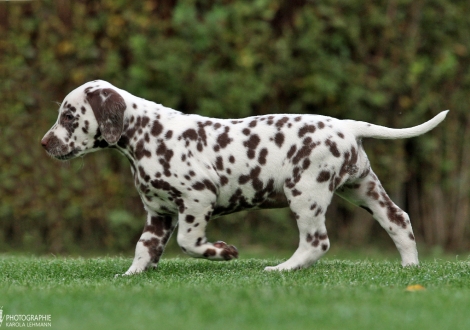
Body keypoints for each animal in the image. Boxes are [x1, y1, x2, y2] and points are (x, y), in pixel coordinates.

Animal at [41, 80, 448, 276]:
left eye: (69, 117)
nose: (45, 144)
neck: (147, 135)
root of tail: (346, 125)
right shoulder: (158, 213)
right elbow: (144, 248)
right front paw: (131, 276)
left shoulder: (197, 199)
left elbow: (189, 243)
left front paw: (222, 252)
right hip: (362, 188)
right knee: (399, 220)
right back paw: (410, 269)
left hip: (306, 193)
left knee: (316, 243)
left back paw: (282, 269)